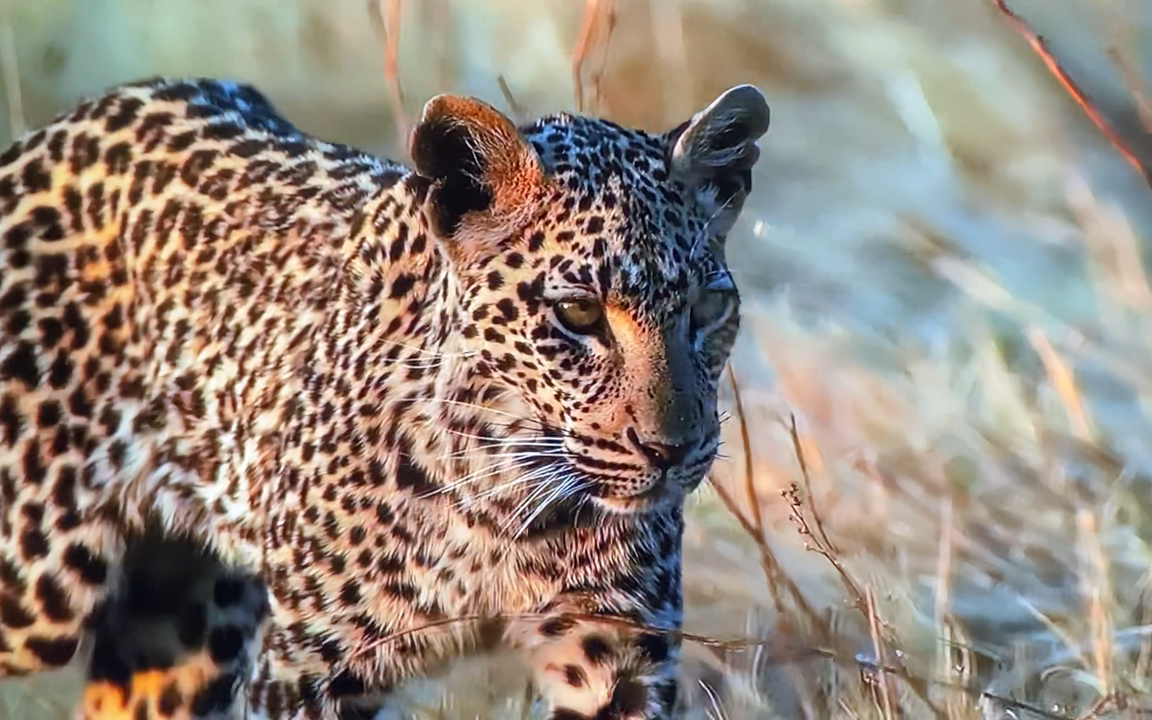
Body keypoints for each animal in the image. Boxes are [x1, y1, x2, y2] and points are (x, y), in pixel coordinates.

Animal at [2, 74, 774, 718]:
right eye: (578, 313)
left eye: (708, 309)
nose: (674, 450)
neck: (506, 502)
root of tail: (75, 118)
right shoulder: (311, 667)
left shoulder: (615, 653)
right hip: (39, 585)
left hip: (189, 622)